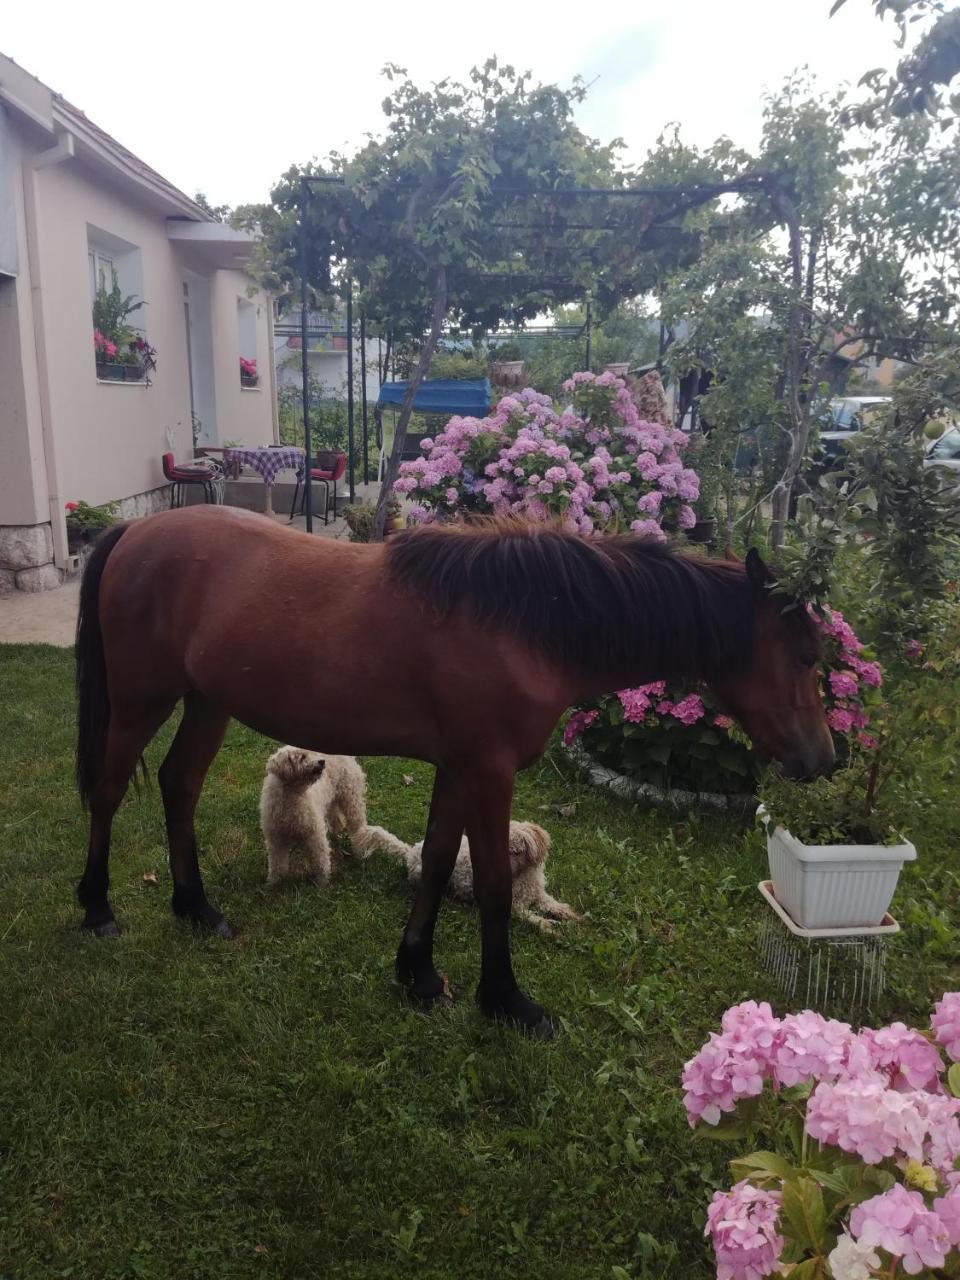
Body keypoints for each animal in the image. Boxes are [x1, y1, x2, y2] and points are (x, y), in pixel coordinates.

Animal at [75, 504, 834, 1034]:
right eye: (805, 654)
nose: (825, 759)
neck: (526, 622)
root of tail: (133, 531)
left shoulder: (456, 765)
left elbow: (440, 859)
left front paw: (416, 972)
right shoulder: (489, 770)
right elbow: (494, 882)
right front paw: (506, 1001)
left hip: (207, 701)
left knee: (179, 784)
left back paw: (195, 907)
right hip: (142, 699)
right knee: (108, 791)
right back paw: (97, 909)